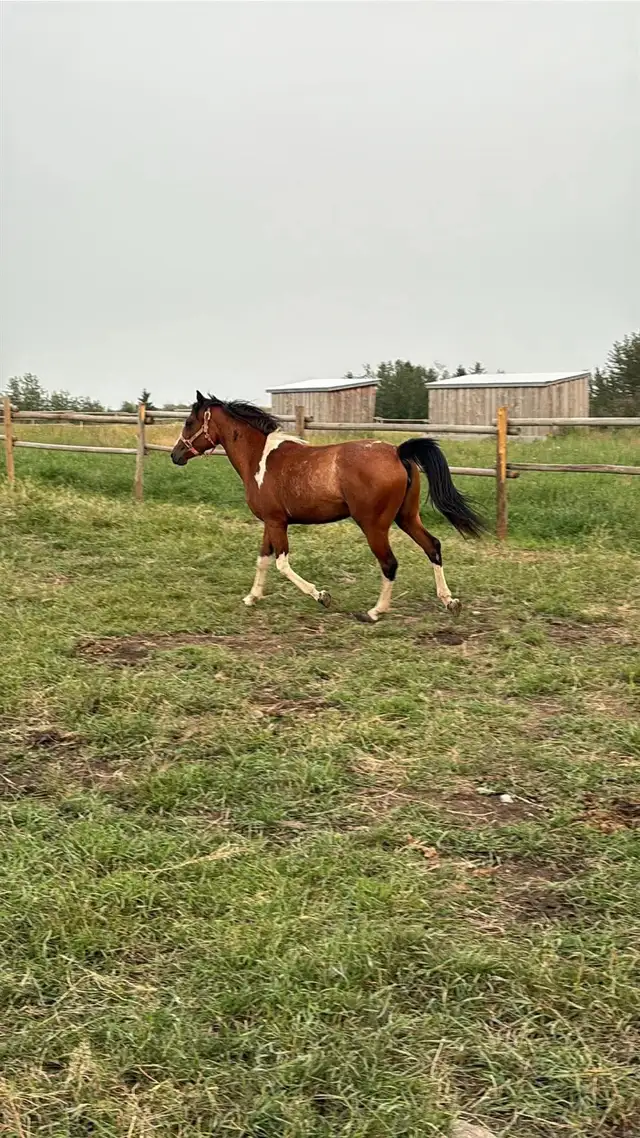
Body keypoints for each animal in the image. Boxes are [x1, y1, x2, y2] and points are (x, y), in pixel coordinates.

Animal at [171, 392, 483, 622]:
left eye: (189, 422)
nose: (175, 455)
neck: (258, 458)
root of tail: (398, 452)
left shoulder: (276, 522)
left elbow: (281, 564)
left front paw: (322, 596)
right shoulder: (271, 522)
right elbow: (262, 560)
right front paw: (251, 597)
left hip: (374, 525)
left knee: (390, 563)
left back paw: (375, 612)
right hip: (406, 517)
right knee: (432, 546)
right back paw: (450, 601)